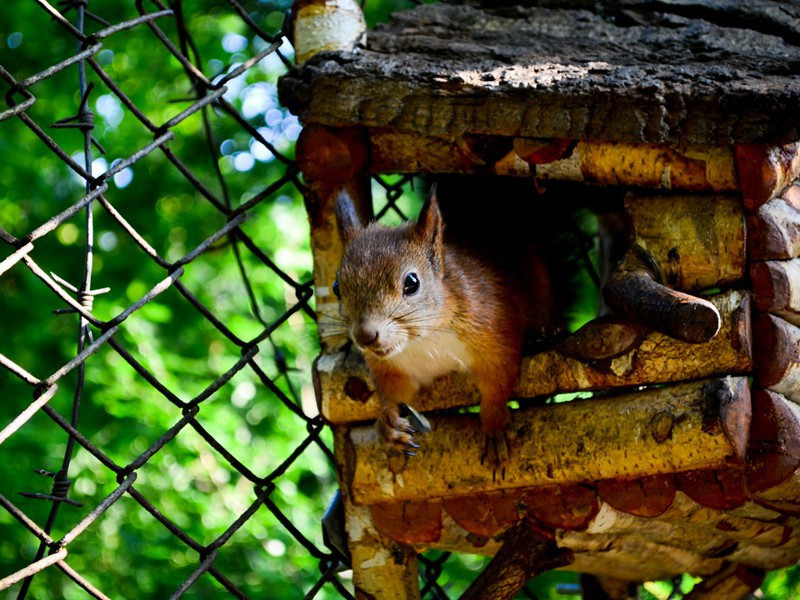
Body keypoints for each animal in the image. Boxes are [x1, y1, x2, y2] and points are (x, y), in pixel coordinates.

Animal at [328, 180, 560, 472]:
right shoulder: (392, 367)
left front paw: (494, 426)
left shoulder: (494, 329)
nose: (365, 336)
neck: (423, 339)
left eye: (412, 283)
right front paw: (388, 424)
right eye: (336, 287)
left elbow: (498, 379)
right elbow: (393, 393)